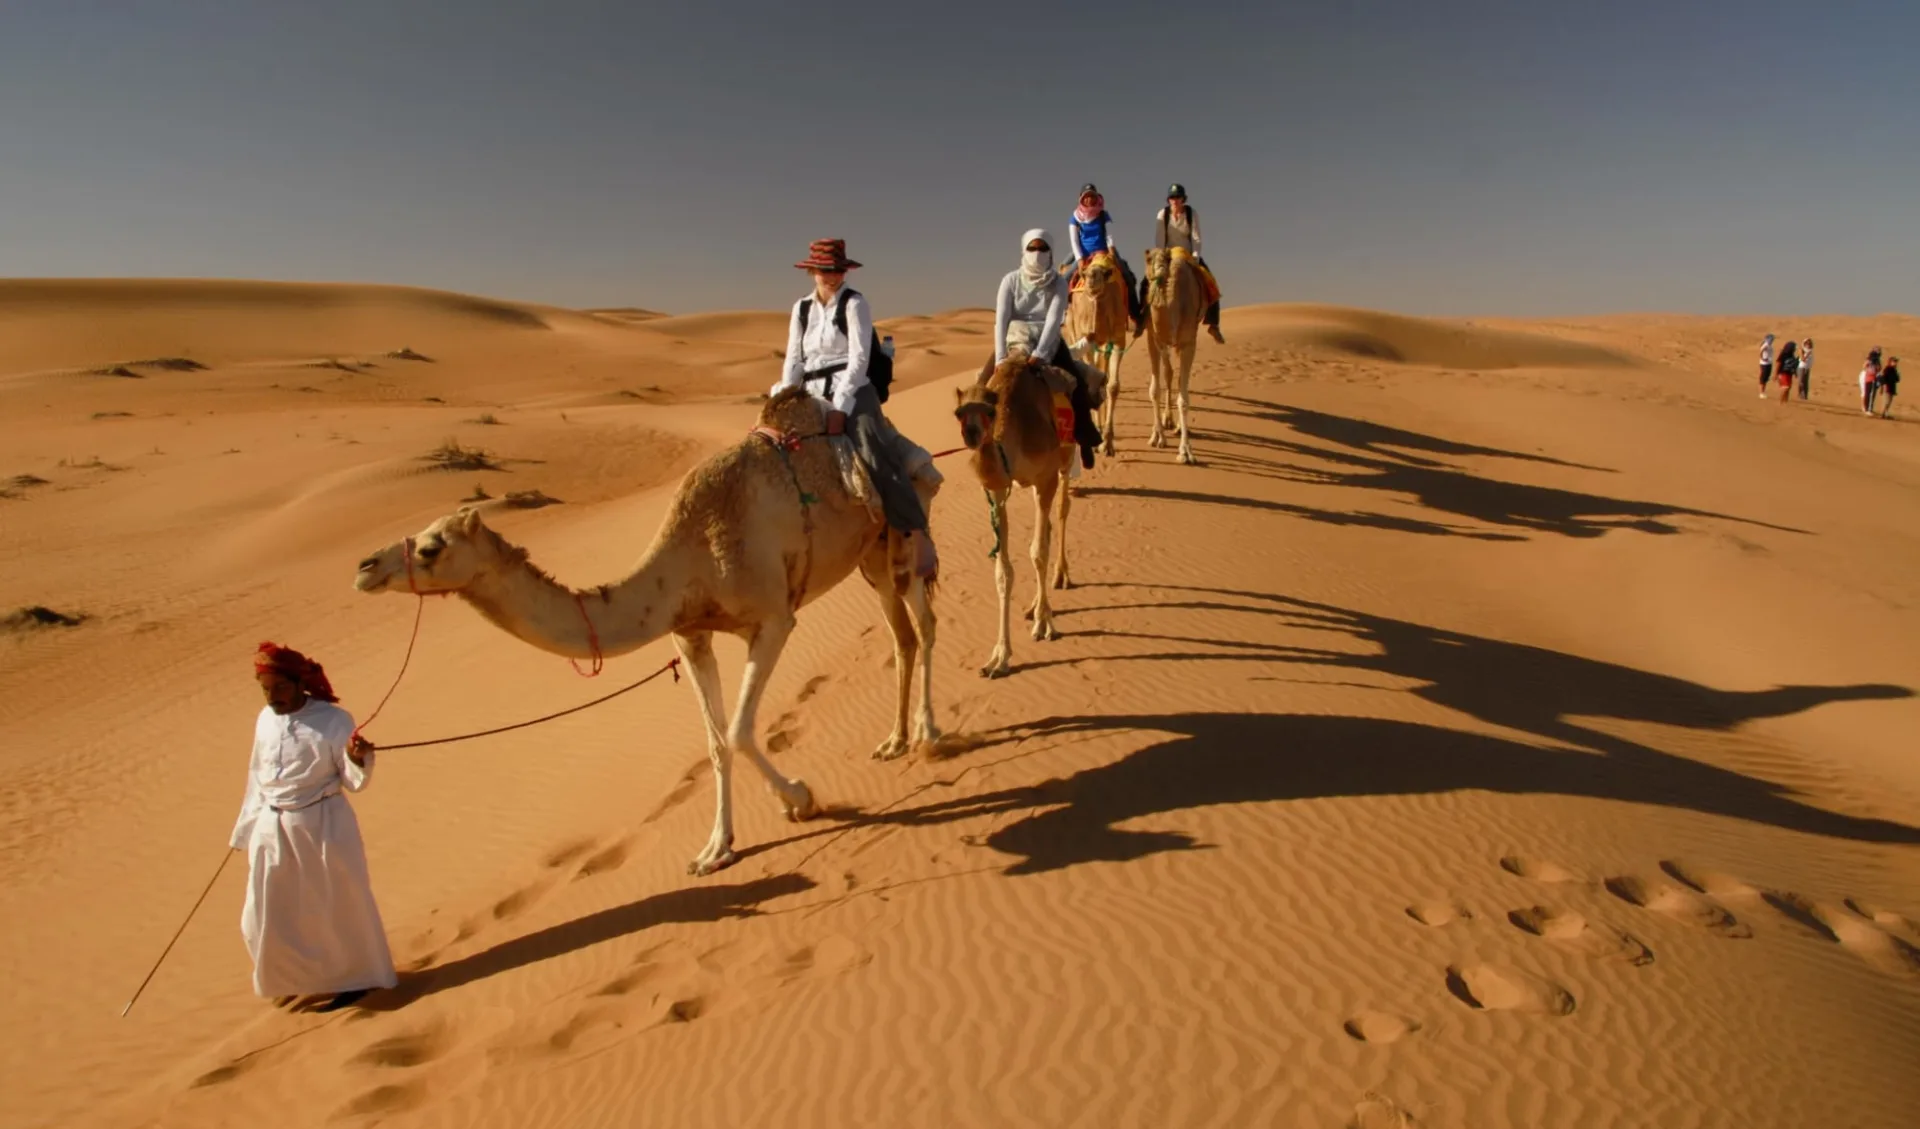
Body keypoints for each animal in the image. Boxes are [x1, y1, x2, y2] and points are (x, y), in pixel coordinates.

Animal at [353, 385, 944, 871]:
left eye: (432, 548)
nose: (365, 567)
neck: (691, 553)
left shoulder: (774, 619)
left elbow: (738, 730)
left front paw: (800, 798)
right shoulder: (690, 634)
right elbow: (715, 742)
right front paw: (716, 849)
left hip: (902, 533)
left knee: (925, 623)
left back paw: (931, 734)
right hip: (869, 556)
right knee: (901, 634)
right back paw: (893, 741)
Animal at [956, 355, 1082, 679]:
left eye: (989, 411)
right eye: (958, 412)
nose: (971, 435)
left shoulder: (1046, 475)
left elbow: (1038, 552)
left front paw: (1044, 625)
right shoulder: (998, 490)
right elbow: (1003, 570)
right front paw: (999, 658)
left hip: (1066, 458)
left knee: (1061, 511)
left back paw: (1060, 578)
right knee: (1047, 526)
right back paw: (1035, 605)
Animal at [1067, 251, 1121, 455]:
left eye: (1103, 274)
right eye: (1086, 273)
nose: (1090, 277)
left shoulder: (1118, 338)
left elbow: (1113, 386)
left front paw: (1108, 443)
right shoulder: (1085, 336)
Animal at [1136, 247, 1198, 462]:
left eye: (1167, 259)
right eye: (1147, 259)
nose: (1161, 272)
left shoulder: (1188, 342)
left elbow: (1184, 398)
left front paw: (1185, 451)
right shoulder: (1153, 338)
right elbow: (1154, 390)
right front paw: (1157, 437)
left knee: (1176, 378)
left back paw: (1177, 426)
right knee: (1168, 372)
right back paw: (1165, 423)